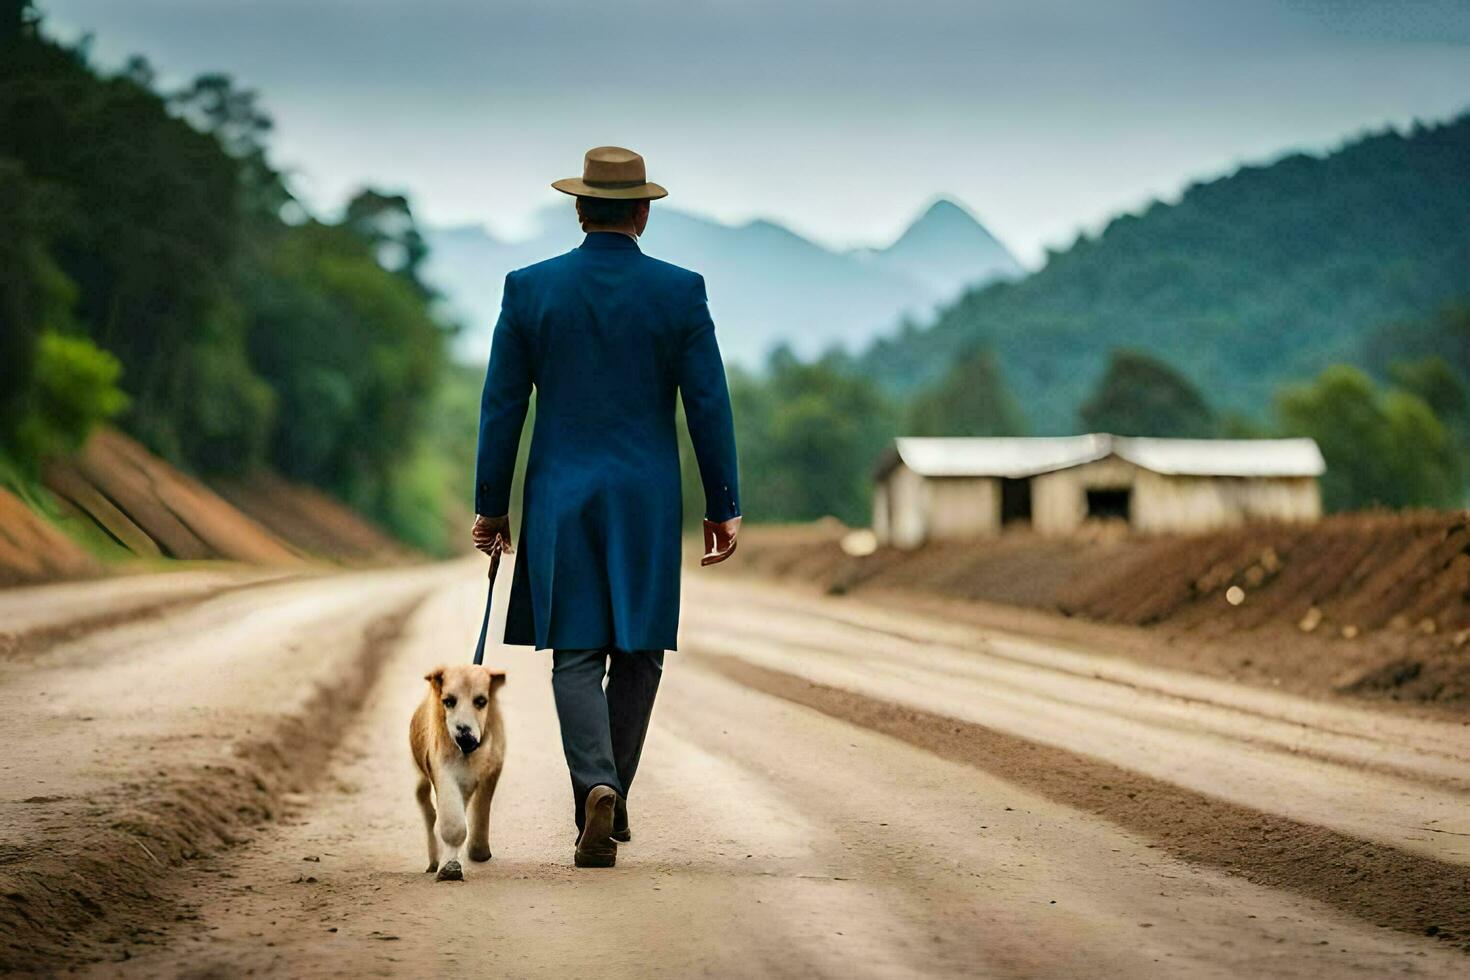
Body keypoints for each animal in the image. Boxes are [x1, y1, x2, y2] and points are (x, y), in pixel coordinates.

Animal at [411, 667, 508, 881]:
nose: (465, 737)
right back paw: (434, 862)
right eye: (448, 701)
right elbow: (452, 822)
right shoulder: (443, 769)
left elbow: (480, 806)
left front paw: (478, 851)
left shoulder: (492, 768)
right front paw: (449, 867)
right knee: (424, 801)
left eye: (481, 701)